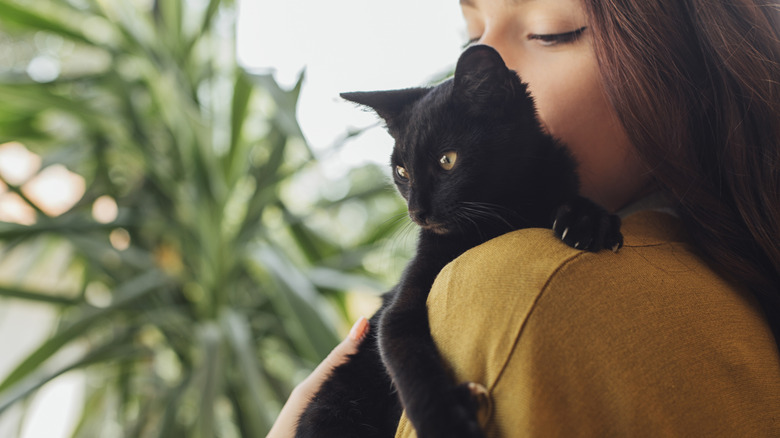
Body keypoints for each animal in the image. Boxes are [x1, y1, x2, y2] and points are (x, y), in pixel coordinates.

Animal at [296, 45, 624, 438]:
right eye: (402, 172)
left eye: (447, 160)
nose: (417, 211)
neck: (499, 214)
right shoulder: (399, 308)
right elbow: (409, 359)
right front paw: (447, 423)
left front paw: (586, 218)